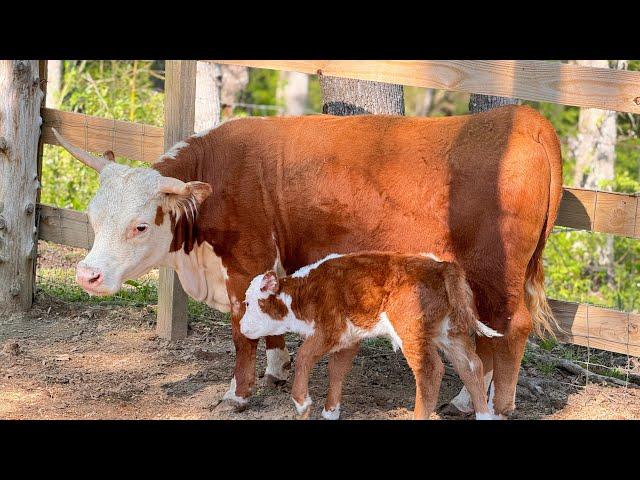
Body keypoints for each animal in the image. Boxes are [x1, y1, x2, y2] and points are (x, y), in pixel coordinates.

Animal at [240, 251, 504, 420]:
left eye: (249, 303)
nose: (242, 327)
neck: (305, 293)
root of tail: (443, 267)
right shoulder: (348, 338)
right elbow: (337, 369)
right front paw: (330, 412)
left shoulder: (329, 329)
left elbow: (304, 356)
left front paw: (302, 404)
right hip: (449, 332)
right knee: (471, 366)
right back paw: (484, 415)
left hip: (411, 333)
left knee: (430, 371)